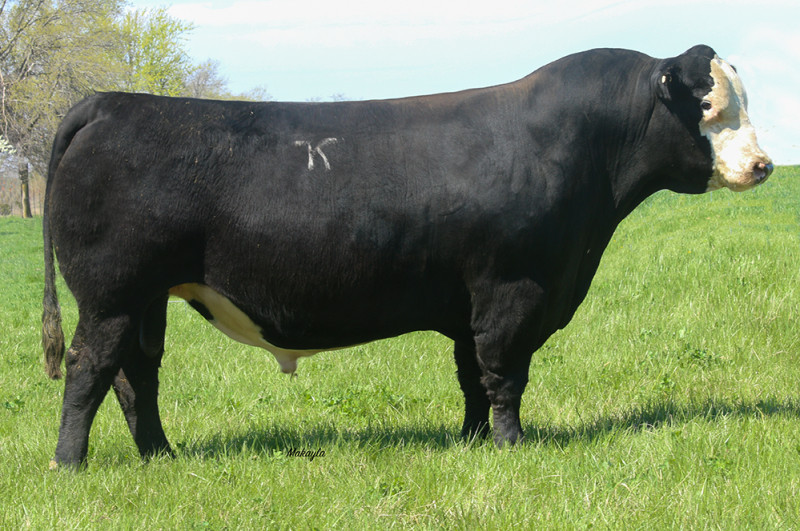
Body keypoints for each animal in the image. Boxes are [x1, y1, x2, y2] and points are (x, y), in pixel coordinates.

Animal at [42, 45, 773, 468]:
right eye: (711, 106)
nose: (765, 165)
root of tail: (110, 101)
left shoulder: (472, 299)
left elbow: (472, 375)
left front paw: (473, 442)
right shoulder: (514, 288)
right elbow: (504, 372)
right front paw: (511, 447)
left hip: (145, 298)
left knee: (136, 374)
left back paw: (161, 456)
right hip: (111, 292)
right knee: (89, 368)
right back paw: (70, 463)